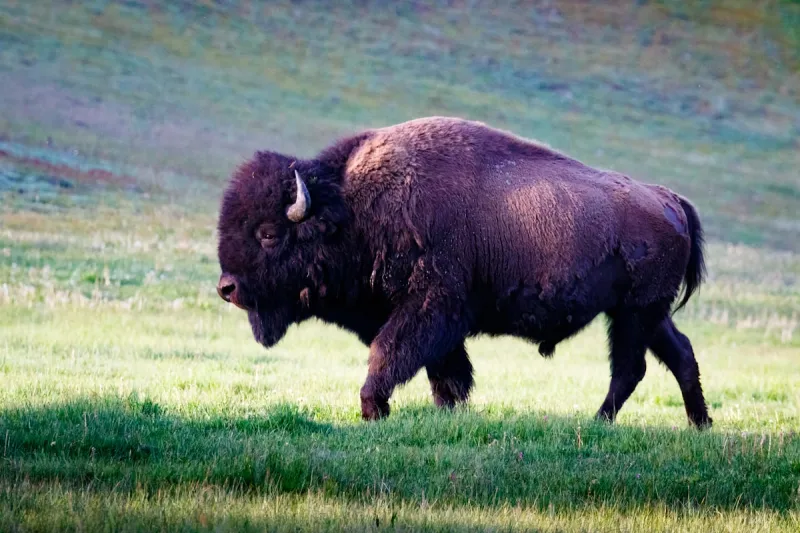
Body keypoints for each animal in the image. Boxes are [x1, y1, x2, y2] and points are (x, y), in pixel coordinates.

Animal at [216, 117, 711, 427]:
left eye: (267, 233)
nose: (226, 287)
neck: (351, 208)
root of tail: (669, 199)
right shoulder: (435, 321)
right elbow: (446, 370)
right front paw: (447, 410)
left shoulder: (429, 307)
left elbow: (389, 352)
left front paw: (373, 409)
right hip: (646, 313)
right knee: (680, 354)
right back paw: (699, 424)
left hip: (633, 313)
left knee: (630, 367)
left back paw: (601, 422)